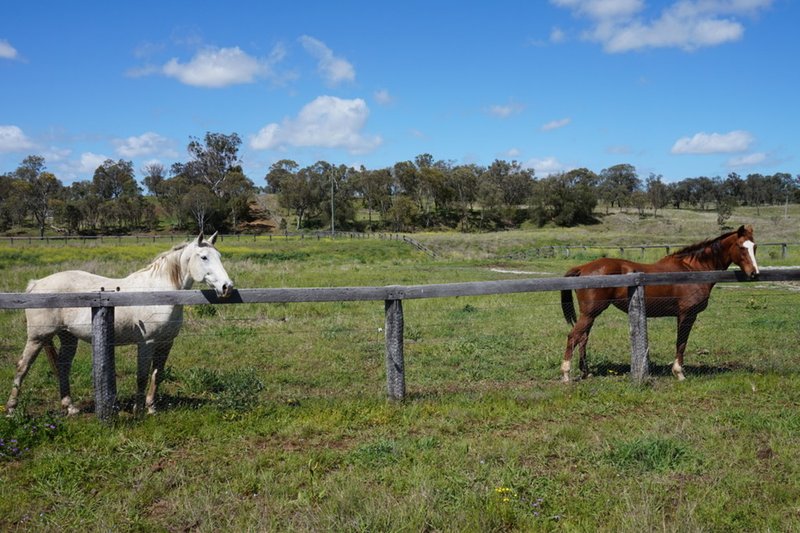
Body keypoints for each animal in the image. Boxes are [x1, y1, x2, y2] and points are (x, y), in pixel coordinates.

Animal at [6, 233, 233, 416]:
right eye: (203, 257)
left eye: (220, 257)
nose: (227, 287)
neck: (158, 293)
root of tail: (36, 284)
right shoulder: (147, 343)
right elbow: (142, 376)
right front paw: (138, 410)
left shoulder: (166, 343)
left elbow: (156, 376)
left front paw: (152, 408)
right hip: (38, 337)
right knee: (22, 367)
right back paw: (11, 409)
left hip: (68, 337)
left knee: (63, 367)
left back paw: (70, 407)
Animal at [560, 224, 760, 382]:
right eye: (741, 247)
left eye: (755, 247)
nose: (754, 273)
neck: (692, 270)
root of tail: (583, 268)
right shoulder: (687, 314)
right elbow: (681, 342)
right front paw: (679, 373)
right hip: (590, 313)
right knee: (573, 337)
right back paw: (566, 374)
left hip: (591, 314)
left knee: (583, 339)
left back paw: (585, 372)